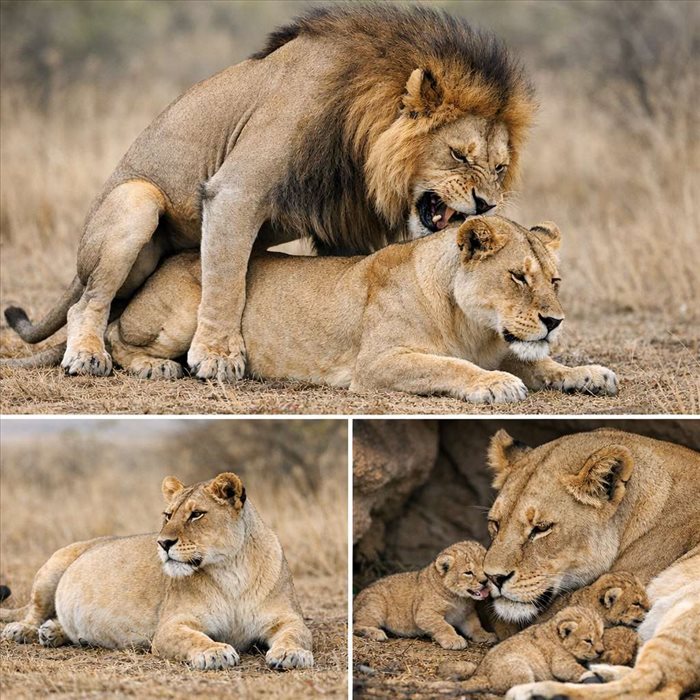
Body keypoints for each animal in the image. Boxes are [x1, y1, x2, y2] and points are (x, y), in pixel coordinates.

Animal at [0, 472, 313, 671]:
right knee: (33, 611)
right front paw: (214, 652)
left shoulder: (287, 619)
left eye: (196, 514)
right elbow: (194, 637)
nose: (163, 543)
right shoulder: (170, 626)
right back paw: (24, 630)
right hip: (53, 566)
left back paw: (52, 632)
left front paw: (291, 654)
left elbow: (296, 635)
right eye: (168, 515)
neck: (231, 571)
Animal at [3, 4, 534, 383]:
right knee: (88, 303)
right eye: (459, 155)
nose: (486, 205)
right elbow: (225, 281)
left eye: (499, 168)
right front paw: (217, 357)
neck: (358, 134)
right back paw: (89, 356)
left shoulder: (340, 224)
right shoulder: (235, 191)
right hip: (137, 199)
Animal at [4, 216, 618, 405]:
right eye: (518, 276)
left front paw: (588, 373)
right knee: (113, 332)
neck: (474, 325)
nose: (554, 321)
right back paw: (155, 366)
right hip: (182, 308)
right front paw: (493, 385)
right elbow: (451, 366)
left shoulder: (508, 346)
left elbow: (543, 364)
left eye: (554, 281)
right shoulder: (378, 364)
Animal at [353, 540, 497, 649]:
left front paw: (486, 635)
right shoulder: (424, 613)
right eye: (468, 572)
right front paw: (453, 640)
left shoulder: (465, 614)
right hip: (376, 604)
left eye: (485, 568)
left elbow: (475, 626)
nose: (485, 581)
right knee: (356, 626)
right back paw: (375, 633)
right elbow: (444, 626)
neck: (460, 599)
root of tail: (357, 597)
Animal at [458, 606, 604, 694]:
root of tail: (479, 675)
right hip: (519, 667)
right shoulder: (559, 663)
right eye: (588, 640)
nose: (601, 651)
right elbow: (576, 669)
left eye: (601, 636)